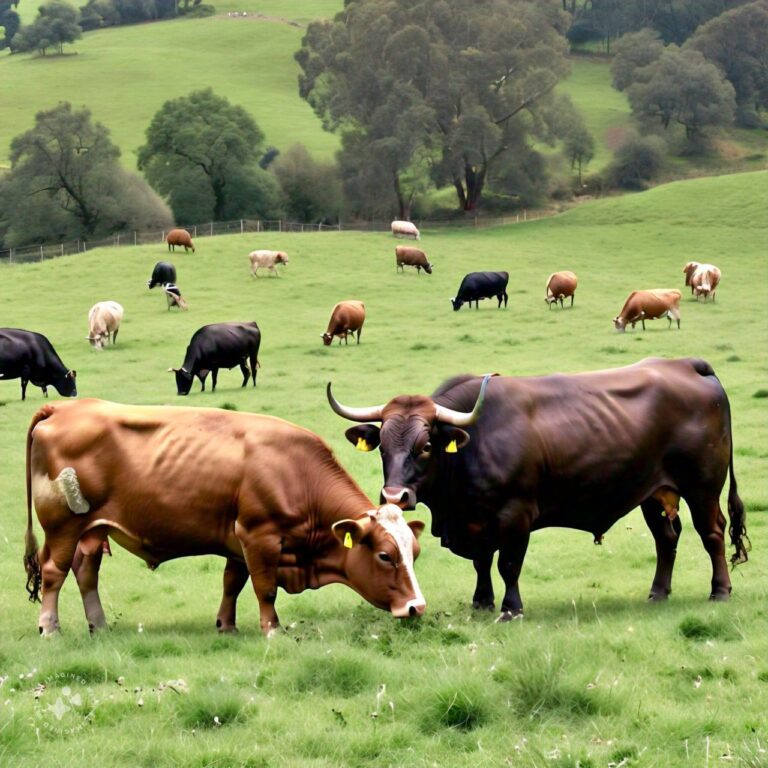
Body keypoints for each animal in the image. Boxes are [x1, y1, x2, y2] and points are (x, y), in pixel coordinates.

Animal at [22, 400, 426, 632]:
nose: (416, 607)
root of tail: (63, 407)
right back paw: (50, 628)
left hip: (92, 529)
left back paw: (100, 625)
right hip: (63, 526)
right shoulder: (259, 536)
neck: (296, 471)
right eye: (385, 556)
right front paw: (272, 629)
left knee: (85, 571)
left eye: (415, 553)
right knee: (54, 573)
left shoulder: (238, 541)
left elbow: (233, 582)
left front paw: (226, 626)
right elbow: (264, 588)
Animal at [328, 356, 752, 620]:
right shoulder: (476, 521)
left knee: (712, 534)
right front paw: (482, 602)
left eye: (427, 445)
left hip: (702, 487)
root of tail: (687, 365)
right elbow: (482, 562)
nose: (394, 496)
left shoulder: (515, 515)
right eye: (383, 445)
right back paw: (658, 592)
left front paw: (510, 608)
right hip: (653, 492)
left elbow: (507, 564)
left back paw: (720, 590)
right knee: (666, 538)